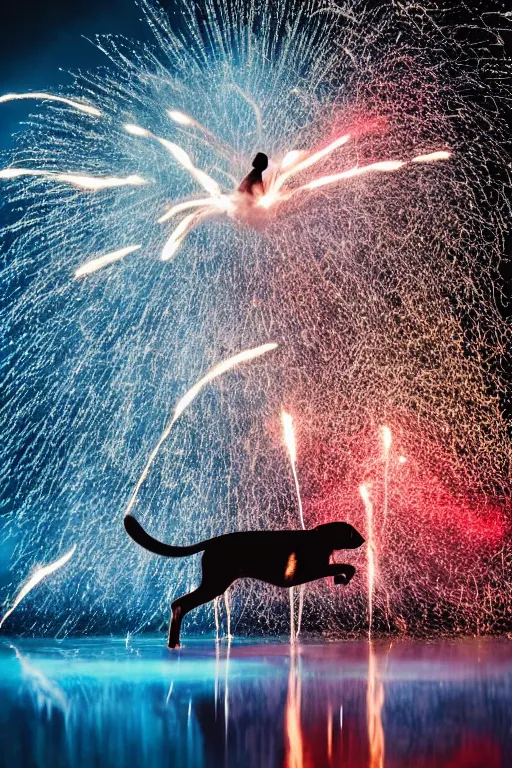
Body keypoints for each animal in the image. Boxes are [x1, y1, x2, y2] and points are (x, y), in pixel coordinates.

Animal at [124, 516, 364, 648]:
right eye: (352, 532)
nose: (363, 539)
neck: (320, 537)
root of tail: (212, 541)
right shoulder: (304, 573)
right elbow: (345, 566)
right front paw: (341, 578)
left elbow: (342, 565)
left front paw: (340, 577)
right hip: (215, 584)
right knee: (179, 604)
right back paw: (174, 643)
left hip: (215, 584)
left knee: (179, 604)